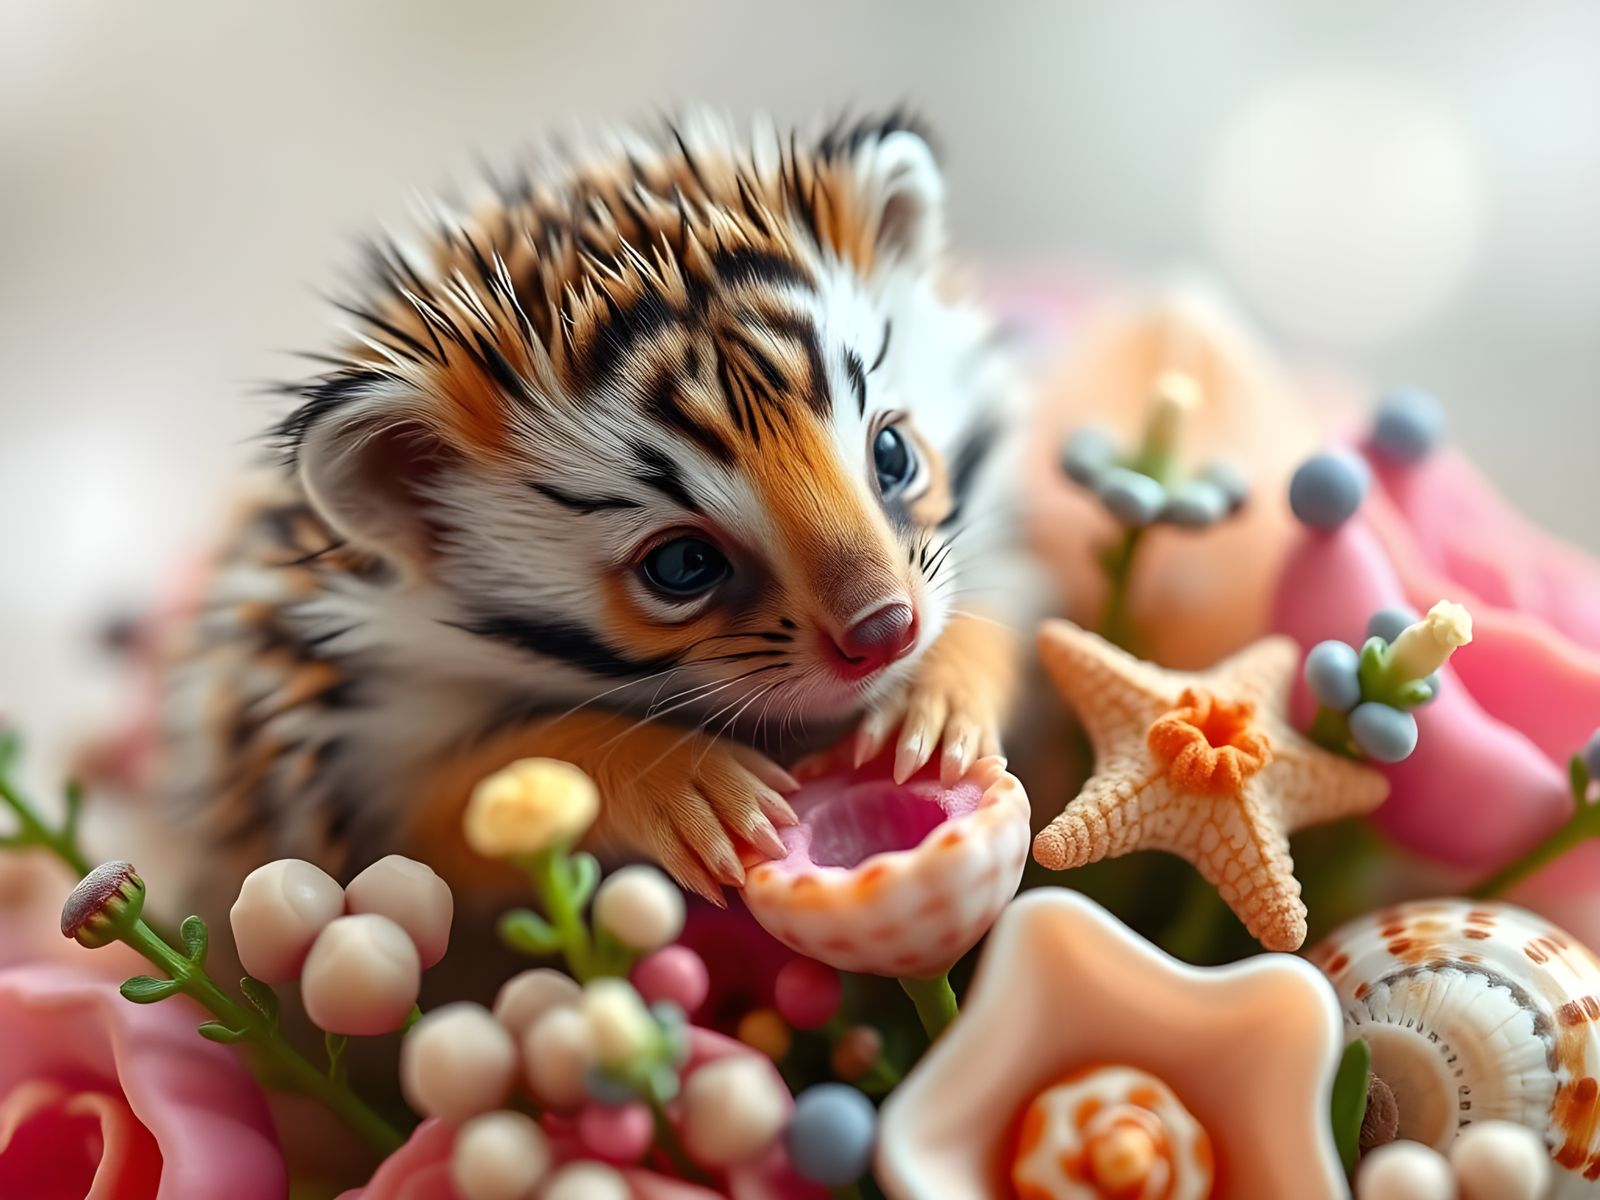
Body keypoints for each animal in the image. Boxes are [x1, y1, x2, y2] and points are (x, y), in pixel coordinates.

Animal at [155, 111, 1035, 903]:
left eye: (893, 457)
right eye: (683, 564)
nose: (886, 631)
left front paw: (937, 704)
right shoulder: (340, 751)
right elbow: (453, 810)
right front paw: (688, 783)